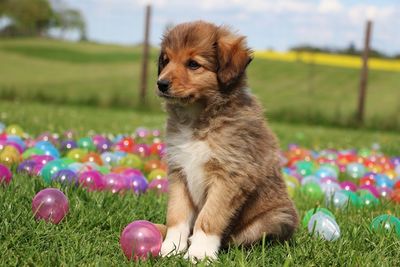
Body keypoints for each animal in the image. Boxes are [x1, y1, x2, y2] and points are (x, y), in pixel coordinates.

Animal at [155, 20, 296, 262]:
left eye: (193, 64)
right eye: (166, 60)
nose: (160, 84)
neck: (198, 120)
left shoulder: (230, 176)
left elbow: (209, 218)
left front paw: (199, 253)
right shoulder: (179, 171)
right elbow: (177, 214)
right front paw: (171, 248)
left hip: (278, 217)